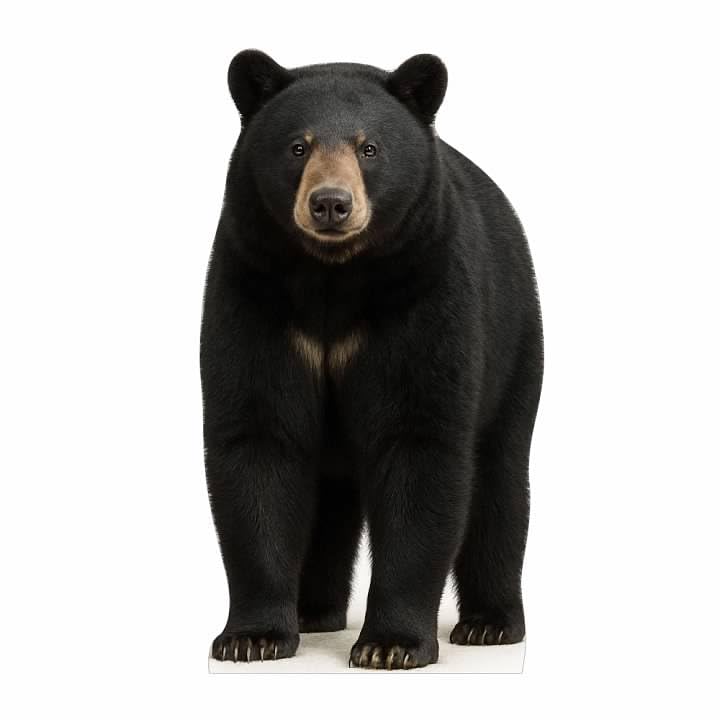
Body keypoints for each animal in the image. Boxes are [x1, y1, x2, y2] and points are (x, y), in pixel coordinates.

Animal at [201, 49, 543, 670]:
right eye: (298, 146)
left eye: (370, 148)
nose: (331, 203)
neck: (332, 277)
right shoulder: (253, 289)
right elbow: (258, 440)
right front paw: (252, 636)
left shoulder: (425, 294)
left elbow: (419, 446)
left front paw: (392, 643)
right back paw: (315, 612)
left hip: (515, 345)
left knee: (500, 482)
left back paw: (490, 623)